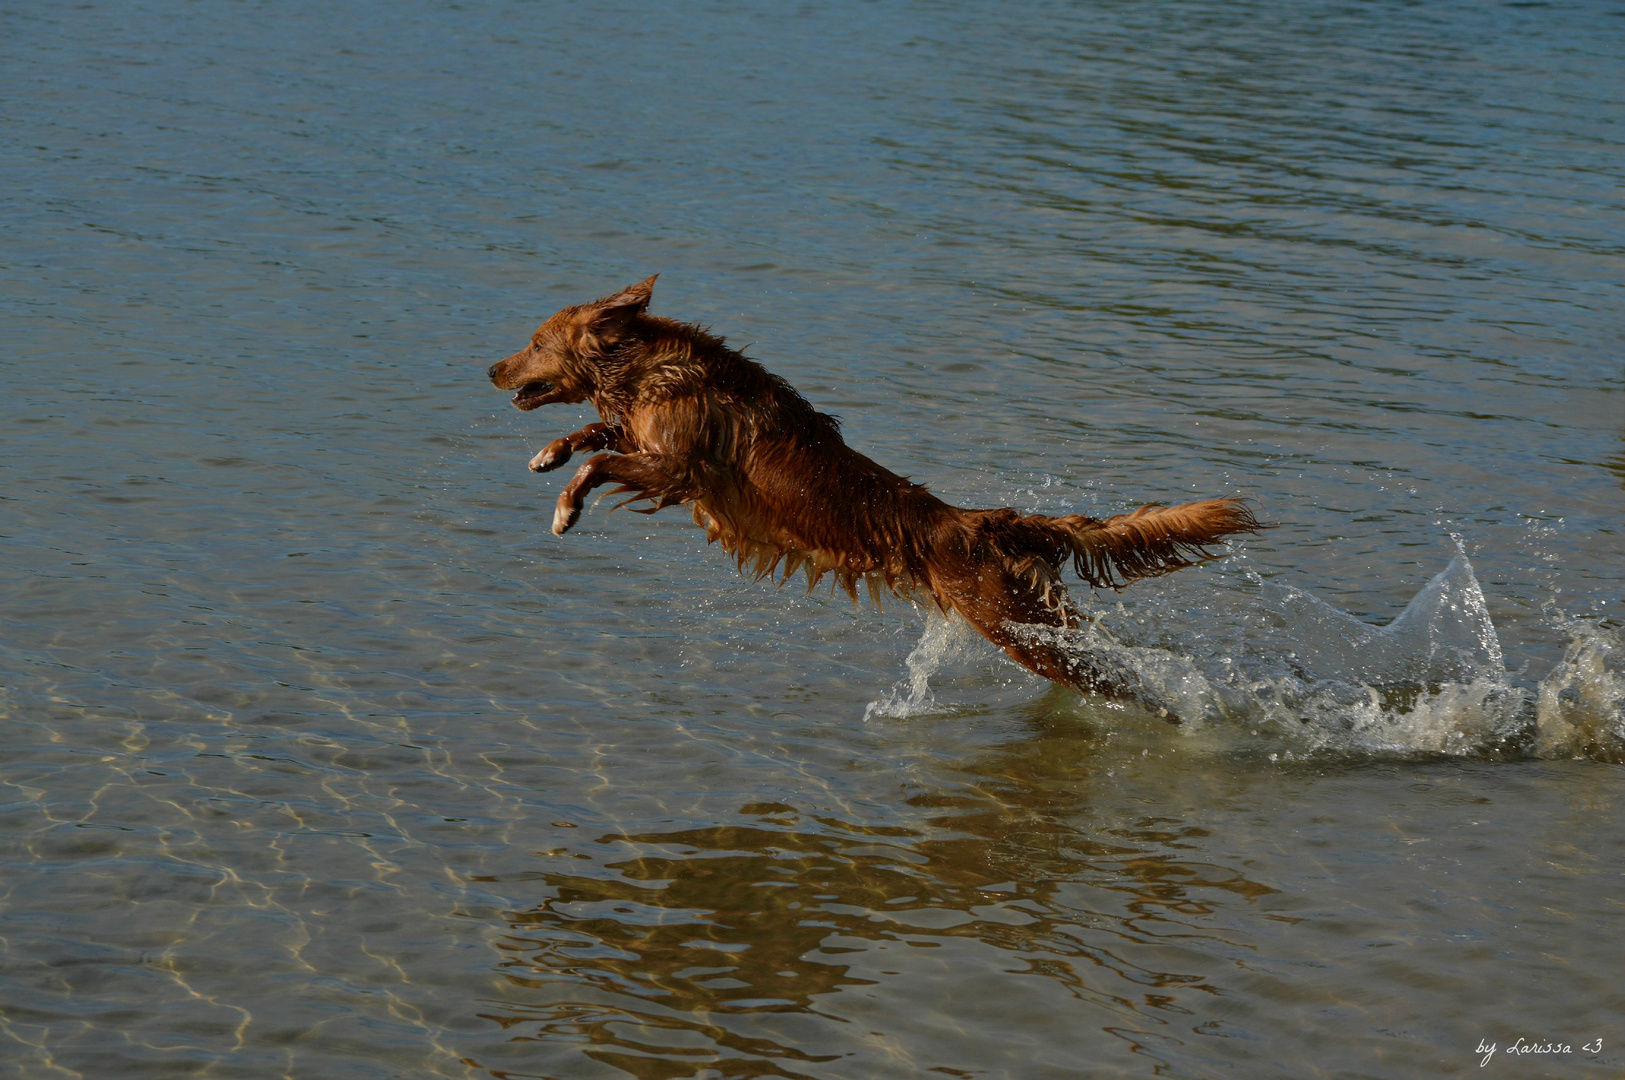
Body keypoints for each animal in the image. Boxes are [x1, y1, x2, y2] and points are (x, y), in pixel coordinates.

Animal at [487, 276, 1261, 698]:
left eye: (535, 341)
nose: (490, 367)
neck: (652, 369)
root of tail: (978, 521)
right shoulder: (646, 442)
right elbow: (595, 433)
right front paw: (549, 454)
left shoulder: (678, 471)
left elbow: (602, 463)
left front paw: (565, 506)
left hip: (1017, 628)